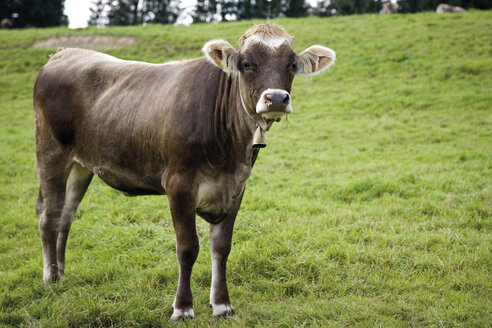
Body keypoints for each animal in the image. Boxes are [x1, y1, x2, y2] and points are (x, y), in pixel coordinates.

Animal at [32, 23, 336, 320]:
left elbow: (221, 247)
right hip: (50, 154)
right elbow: (188, 248)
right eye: (247, 63)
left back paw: (61, 273)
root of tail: (64, 53)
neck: (230, 154)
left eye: (291, 64)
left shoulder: (236, 187)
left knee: (66, 215)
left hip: (81, 165)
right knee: (49, 215)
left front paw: (222, 304)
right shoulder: (179, 185)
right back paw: (49, 278)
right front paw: (182, 307)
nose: (276, 98)